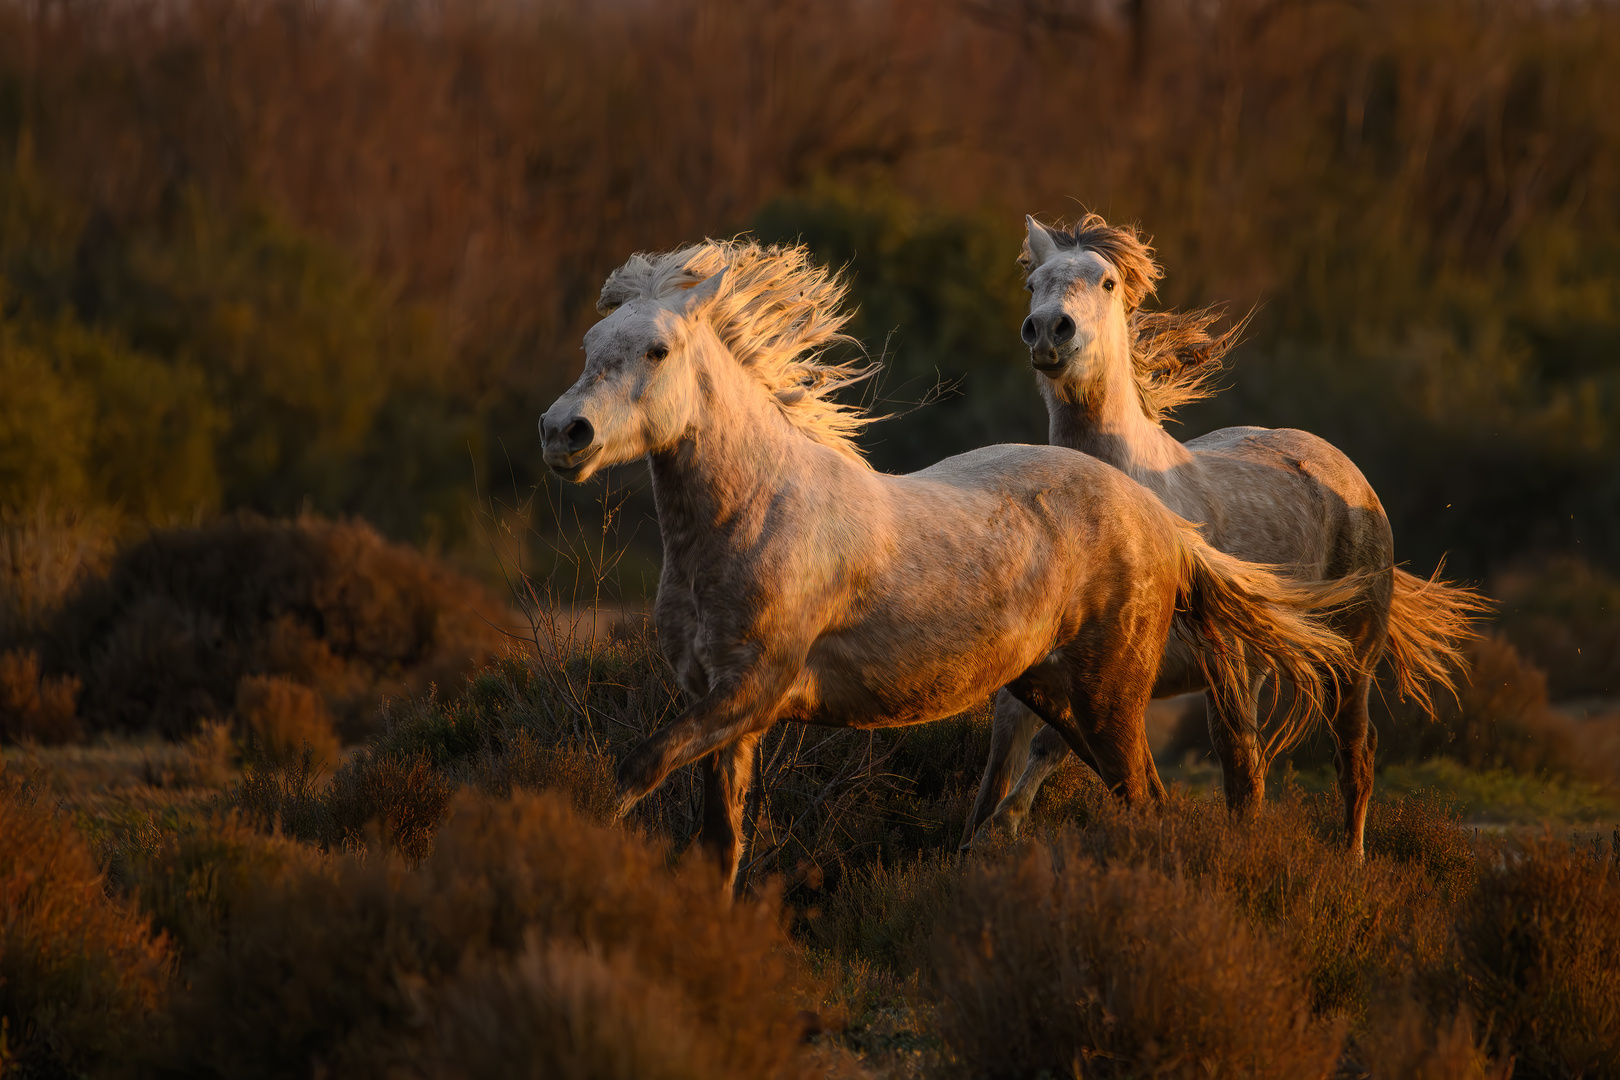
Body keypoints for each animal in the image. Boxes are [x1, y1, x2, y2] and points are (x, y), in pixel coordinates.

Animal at [544, 241, 1367, 893]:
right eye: (587, 344)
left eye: (657, 351)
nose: (562, 432)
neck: (753, 513)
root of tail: (1159, 516)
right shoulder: (722, 711)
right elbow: (719, 846)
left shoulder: (753, 689)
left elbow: (633, 771)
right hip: (1051, 694)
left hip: (1115, 696)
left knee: (1159, 798)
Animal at [965, 215, 1483, 854]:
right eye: (1033, 285)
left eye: (1107, 282)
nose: (1048, 333)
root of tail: (1346, 471)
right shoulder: (1032, 681)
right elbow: (1003, 767)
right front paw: (980, 838)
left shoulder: (1150, 671)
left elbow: (1061, 748)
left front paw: (1006, 822)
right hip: (1255, 669)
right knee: (1252, 775)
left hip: (1342, 662)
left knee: (1347, 763)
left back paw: (1350, 860)